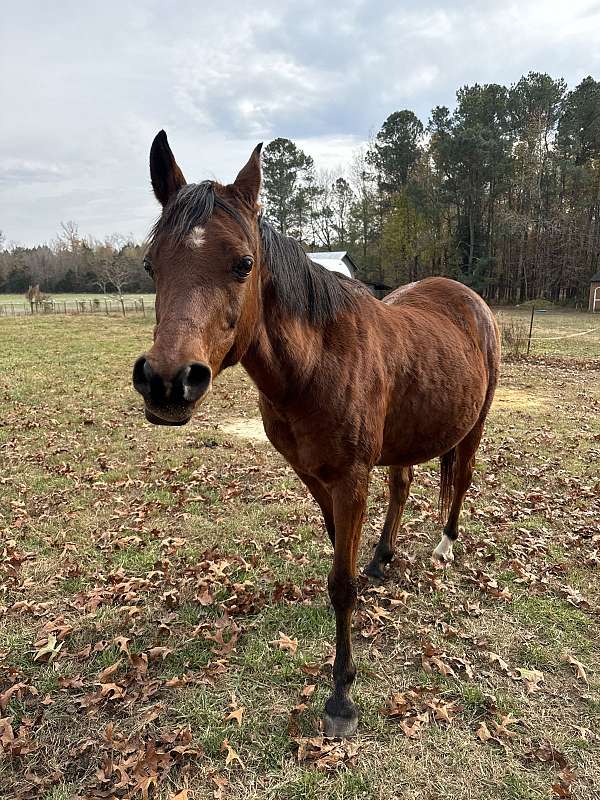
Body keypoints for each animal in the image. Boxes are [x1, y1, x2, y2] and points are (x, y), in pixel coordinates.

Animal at [134, 131, 500, 736]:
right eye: (150, 265)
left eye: (244, 263)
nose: (167, 382)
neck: (317, 363)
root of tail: (469, 299)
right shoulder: (313, 477)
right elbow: (338, 557)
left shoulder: (350, 478)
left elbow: (341, 584)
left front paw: (341, 695)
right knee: (401, 487)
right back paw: (383, 558)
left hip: (474, 426)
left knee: (462, 479)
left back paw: (445, 546)